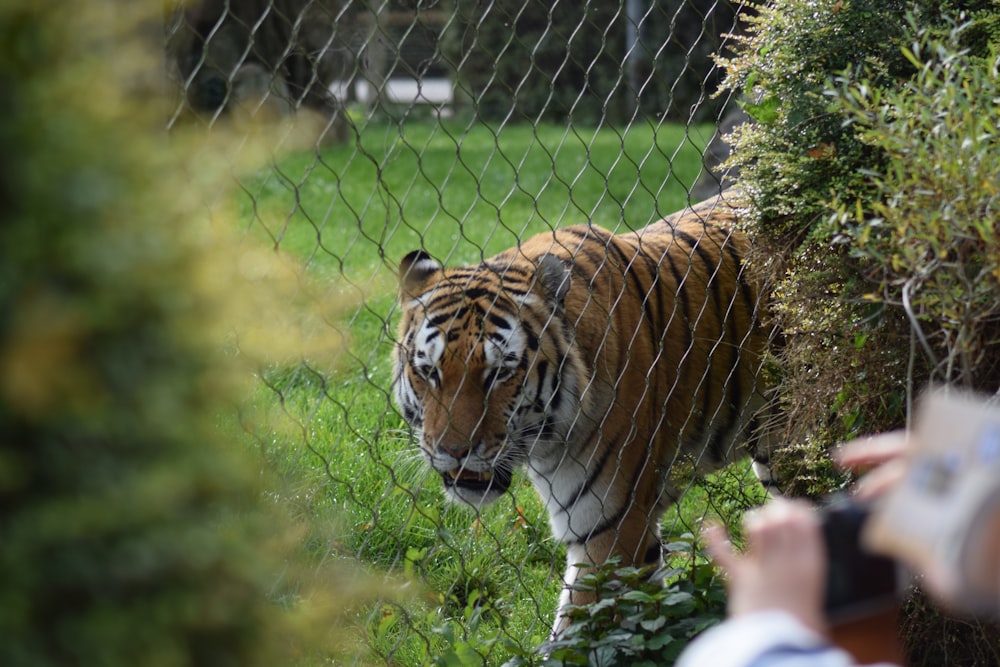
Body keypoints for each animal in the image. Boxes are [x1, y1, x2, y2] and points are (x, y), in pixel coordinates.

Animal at [394, 190, 776, 636]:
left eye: (500, 373)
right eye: (429, 372)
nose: (454, 451)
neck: (544, 443)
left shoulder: (610, 525)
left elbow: (579, 633)